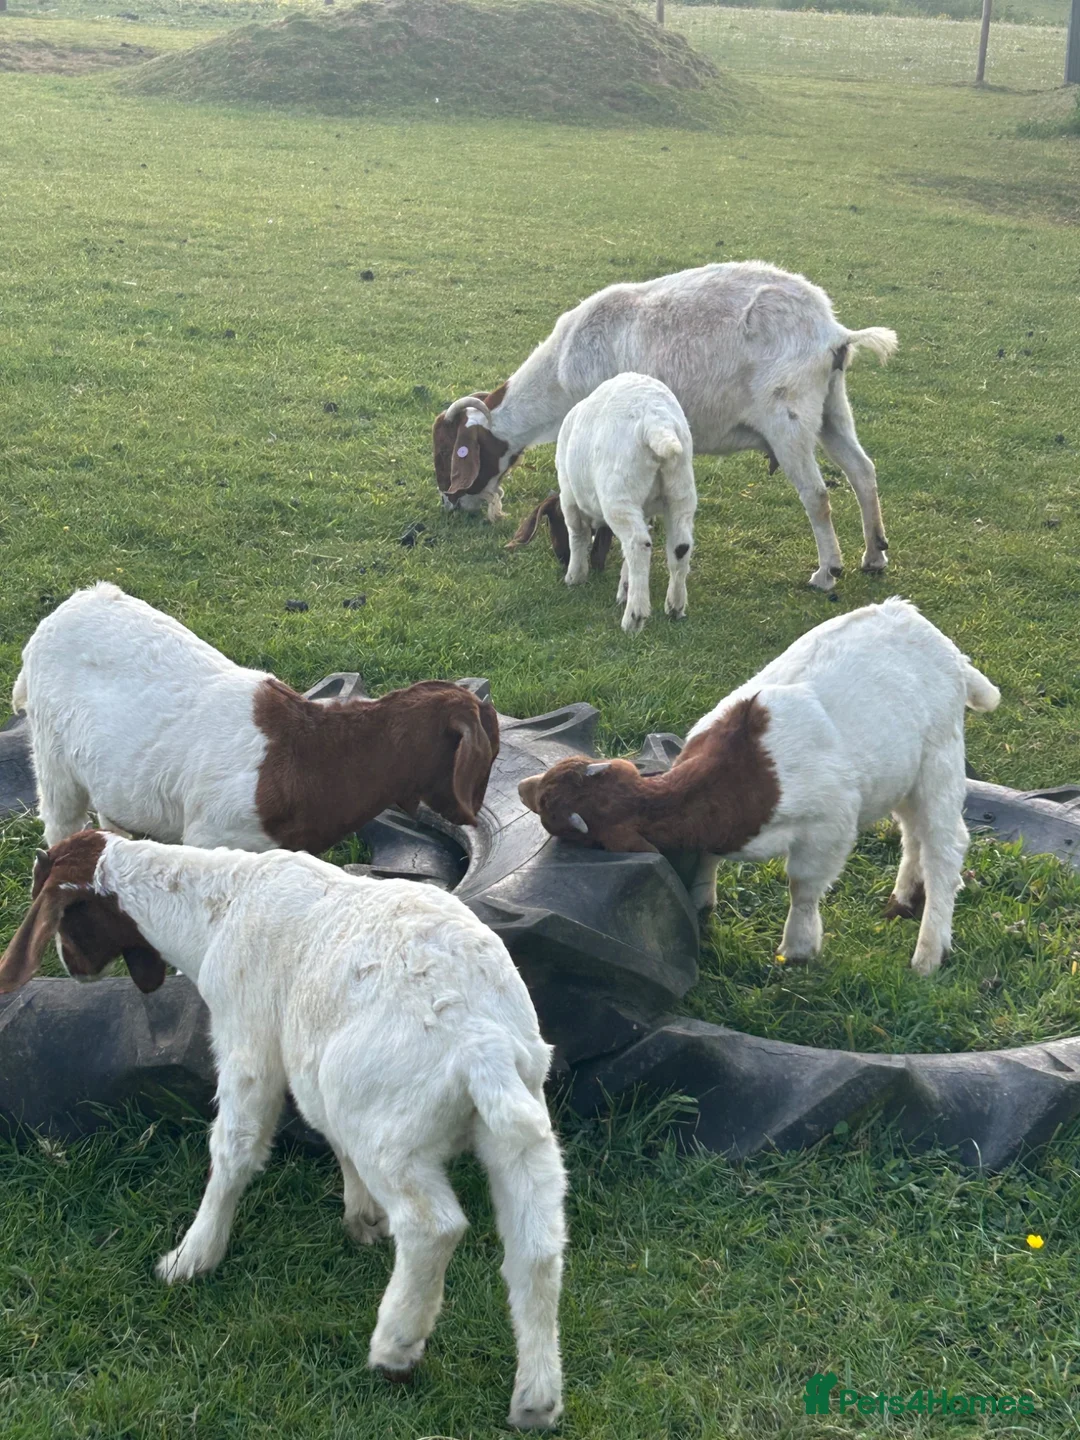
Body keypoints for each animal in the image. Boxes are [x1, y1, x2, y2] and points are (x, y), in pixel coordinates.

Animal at [0, 830, 567, 1428]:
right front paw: (362, 1217)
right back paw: (536, 1400)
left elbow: (236, 1145)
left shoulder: (247, 1036)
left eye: (63, 916)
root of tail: (482, 1044)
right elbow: (329, 1136)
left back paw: (396, 1347)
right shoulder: (309, 1062)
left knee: (433, 1226)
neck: (215, 908)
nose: (72, 966)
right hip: (519, 1126)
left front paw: (191, 1258)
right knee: (536, 1250)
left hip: (390, 1131)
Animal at [15, 584, 498, 852]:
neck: (311, 757)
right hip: (53, 760)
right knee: (60, 823)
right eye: (489, 755)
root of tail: (68, 607)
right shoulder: (211, 838)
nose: (473, 816)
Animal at [433, 260, 897, 591]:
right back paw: (874, 555)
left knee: (817, 495)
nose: (451, 504)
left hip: (789, 416)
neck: (561, 372)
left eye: (453, 453)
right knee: (862, 472)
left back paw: (827, 573)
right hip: (832, 408)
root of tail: (834, 332)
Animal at [507, 373, 696, 634]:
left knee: (638, 544)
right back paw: (675, 606)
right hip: (680, 490)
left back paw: (634, 617)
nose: (561, 559)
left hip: (618, 494)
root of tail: (657, 423)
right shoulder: (644, 510)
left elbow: (577, 534)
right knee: (680, 546)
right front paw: (624, 587)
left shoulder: (569, 495)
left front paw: (574, 576)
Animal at [518, 599, 1000, 977]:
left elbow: (802, 887)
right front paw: (702, 905)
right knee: (913, 833)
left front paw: (798, 948)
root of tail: (922, 624)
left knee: (945, 845)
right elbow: (705, 860)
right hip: (900, 773)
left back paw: (928, 953)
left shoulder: (829, 827)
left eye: (549, 811)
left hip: (941, 759)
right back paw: (902, 901)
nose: (522, 786)